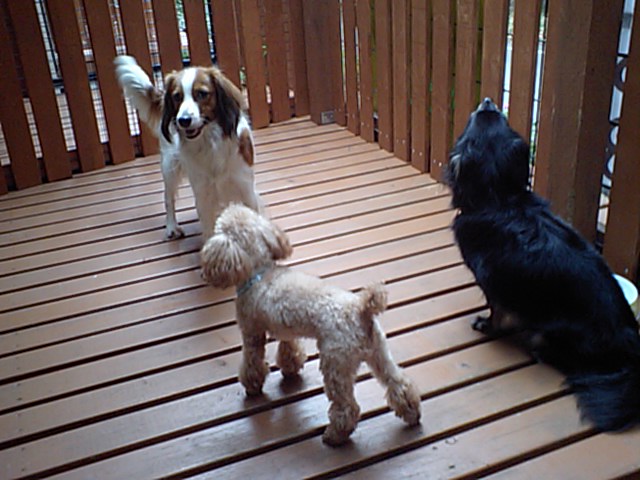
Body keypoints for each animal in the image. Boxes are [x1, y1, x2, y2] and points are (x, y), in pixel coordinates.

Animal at [114, 56, 262, 240]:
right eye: (177, 96)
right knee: (168, 198)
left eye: (202, 94)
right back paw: (172, 226)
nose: (183, 120)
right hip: (169, 167)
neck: (209, 144)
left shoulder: (246, 189)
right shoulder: (203, 195)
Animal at [200, 204, 421, 445]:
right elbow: (289, 350)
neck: (261, 273)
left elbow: (252, 362)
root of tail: (361, 308)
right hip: (379, 354)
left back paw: (335, 436)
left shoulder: (251, 333)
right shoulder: (285, 331)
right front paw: (290, 368)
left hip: (335, 364)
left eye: (220, 226)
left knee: (347, 407)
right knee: (399, 384)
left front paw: (252, 386)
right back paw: (412, 414)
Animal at [446, 97, 640, 431]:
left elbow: (497, 313)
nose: (488, 100)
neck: (501, 200)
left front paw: (486, 326)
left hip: (548, 334)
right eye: (499, 116)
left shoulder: (494, 286)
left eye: (473, 118)